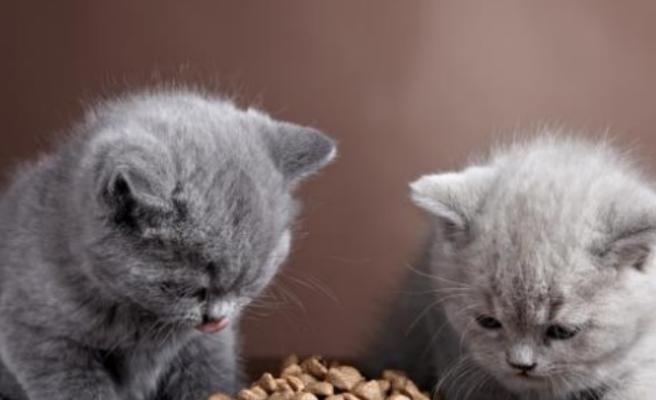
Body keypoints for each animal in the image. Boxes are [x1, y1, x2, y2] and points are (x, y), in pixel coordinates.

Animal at [0, 88, 338, 400]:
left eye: (249, 282)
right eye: (188, 288)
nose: (216, 319)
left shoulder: (206, 347)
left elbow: (209, 379)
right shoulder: (42, 339)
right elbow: (77, 389)